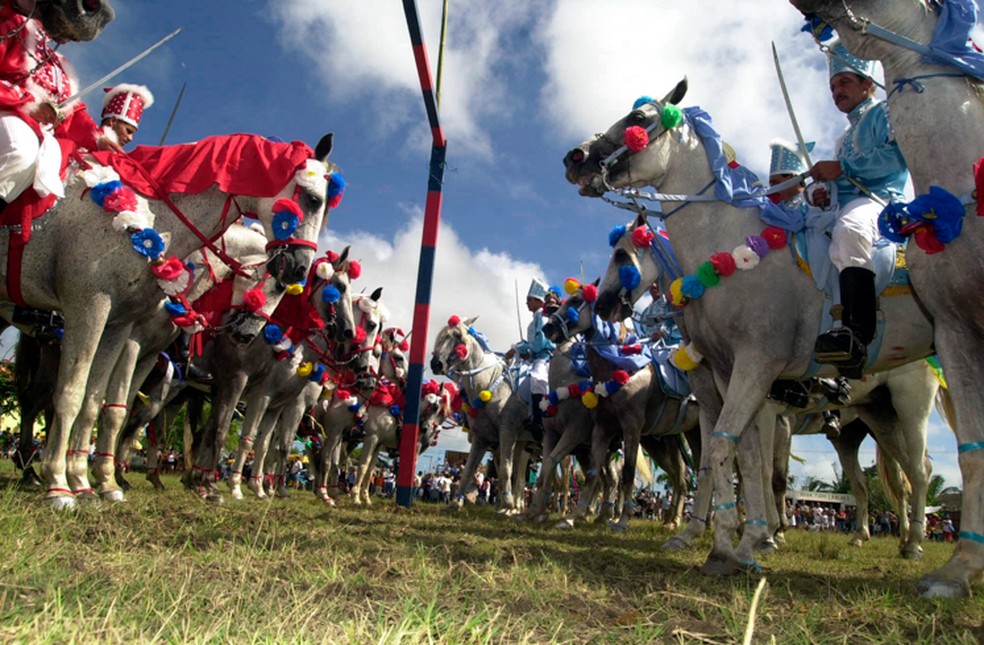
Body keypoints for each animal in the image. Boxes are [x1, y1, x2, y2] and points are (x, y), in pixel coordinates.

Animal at [788, 0, 984, 600]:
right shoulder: (960, 334)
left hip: (908, 404)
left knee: (916, 471)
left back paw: (914, 542)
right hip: (870, 420)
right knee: (881, 475)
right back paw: (888, 538)